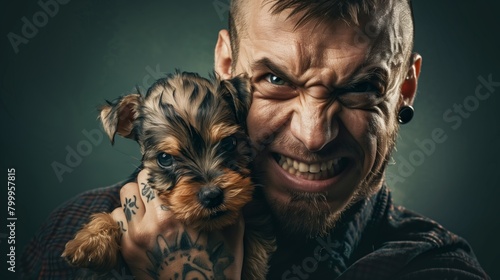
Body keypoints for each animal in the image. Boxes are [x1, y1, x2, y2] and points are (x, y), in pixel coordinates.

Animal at [61, 71, 278, 278]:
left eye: (229, 143)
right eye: (164, 158)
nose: (212, 196)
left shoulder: (258, 220)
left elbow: (254, 255)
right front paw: (91, 240)